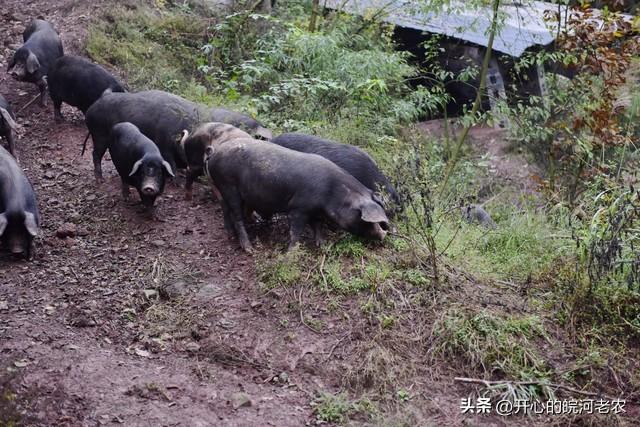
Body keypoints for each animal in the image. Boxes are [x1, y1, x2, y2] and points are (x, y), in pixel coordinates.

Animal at [84, 90, 270, 181]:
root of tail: (91, 108)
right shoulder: (164, 145)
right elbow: (171, 163)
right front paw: (177, 182)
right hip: (99, 133)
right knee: (95, 154)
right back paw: (100, 179)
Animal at [204, 137, 390, 252]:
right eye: (364, 219)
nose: (384, 234)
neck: (331, 193)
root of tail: (214, 153)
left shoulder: (315, 210)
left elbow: (317, 226)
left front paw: (323, 246)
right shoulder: (299, 207)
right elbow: (296, 231)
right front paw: (291, 252)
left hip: (224, 188)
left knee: (225, 209)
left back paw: (230, 235)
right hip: (228, 185)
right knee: (236, 215)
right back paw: (249, 248)